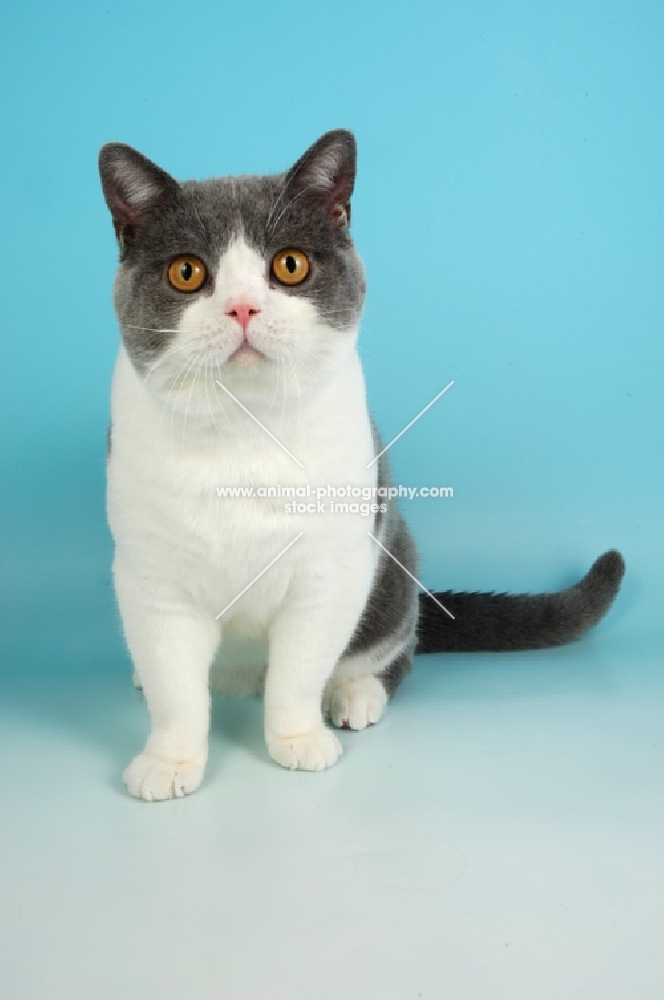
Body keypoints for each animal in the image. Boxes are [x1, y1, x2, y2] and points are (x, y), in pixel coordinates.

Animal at [97, 131, 624, 804]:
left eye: (289, 265)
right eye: (187, 272)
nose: (242, 308)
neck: (246, 432)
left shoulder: (332, 568)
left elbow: (298, 669)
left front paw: (298, 738)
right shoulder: (153, 579)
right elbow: (175, 686)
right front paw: (169, 759)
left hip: (392, 570)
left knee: (395, 651)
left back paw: (355, 696)